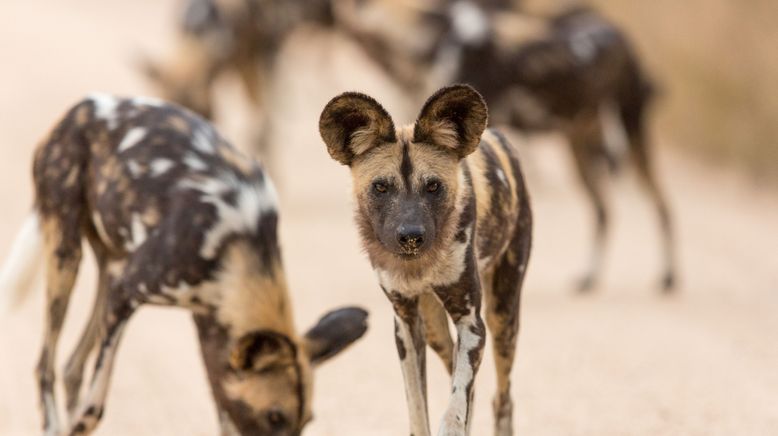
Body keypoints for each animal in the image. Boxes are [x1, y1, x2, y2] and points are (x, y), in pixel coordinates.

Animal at [0, 95, 368, 436]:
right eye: (274, 417)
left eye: (305, 422)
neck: (238, 248)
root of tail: (82, 105)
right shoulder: (126, 295)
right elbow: (93, 410)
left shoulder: (208, 325)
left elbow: (223, 411)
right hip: (65, 253)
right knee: (45, 366)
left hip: (109, 268)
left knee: (72, 367)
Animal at [318, 85, 532, 436]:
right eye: (381, 187)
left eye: (433, 186)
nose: (411, 236)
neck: (419, 266)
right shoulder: (406, 322)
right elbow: (418, 407)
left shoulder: (471, 323)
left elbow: (456, 404)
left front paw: (452, 422)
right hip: (436, 331)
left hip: (503, 319)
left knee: (502, 398)